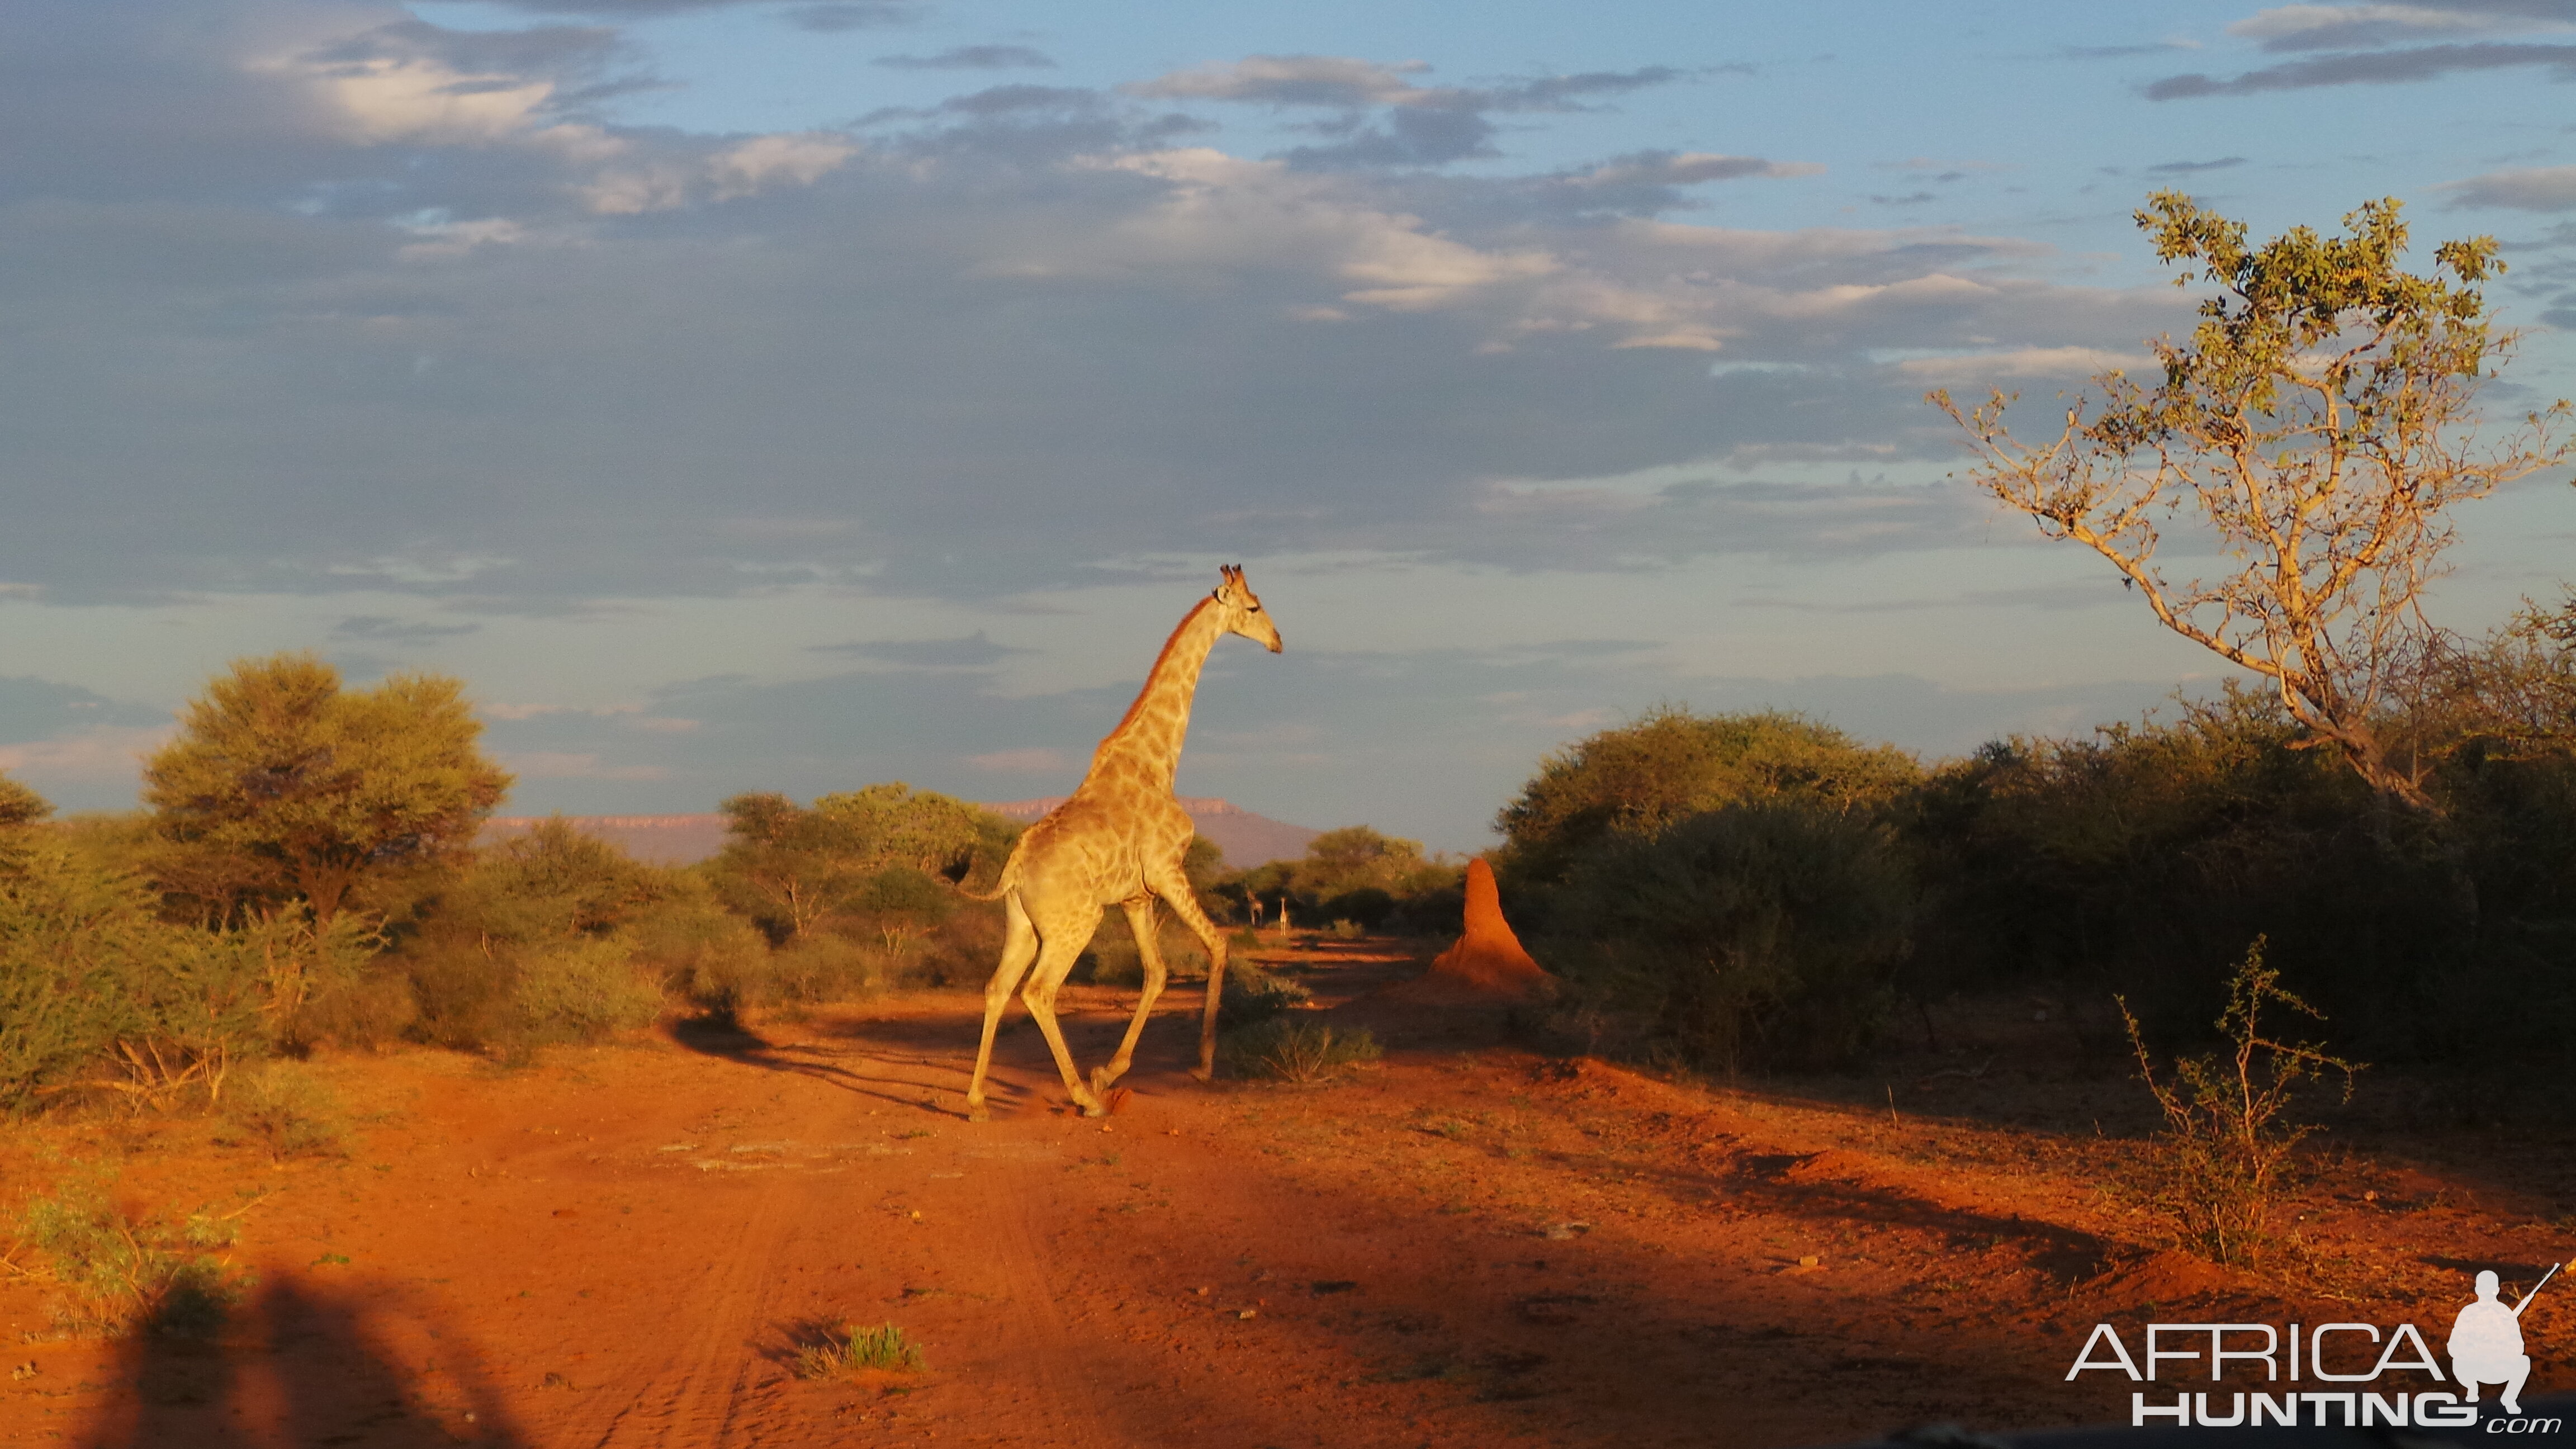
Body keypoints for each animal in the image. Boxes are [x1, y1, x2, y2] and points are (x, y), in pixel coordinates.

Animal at [963, 565, 1282, 1119]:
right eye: (1254, 607)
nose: (1278, 642)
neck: (1159, 762)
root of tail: (1015, 867)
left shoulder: (1137, 895)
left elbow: (1156, 971)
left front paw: (1110, 1069)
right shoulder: (1166, 870)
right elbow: (1217, 945)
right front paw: (1201, 1067)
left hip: (1023, 924)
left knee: (997, 987)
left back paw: (979, 1100)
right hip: (1076, 923)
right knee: (1039, 992)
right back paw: (1085, 1099)